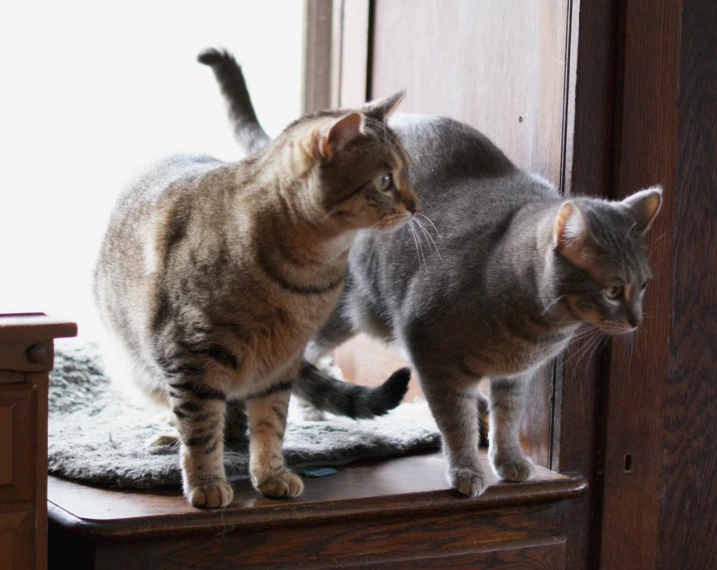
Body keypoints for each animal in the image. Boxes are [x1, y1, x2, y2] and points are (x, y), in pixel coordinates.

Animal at [92, 62, 416, 506]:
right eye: (385, 180)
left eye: (408, 172)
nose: (416, 204)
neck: (307, 273)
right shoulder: (191, 355)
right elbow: (200, 431)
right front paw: (207, 483)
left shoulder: (280, 364)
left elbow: (270, 425)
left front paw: (271, 474)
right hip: (145, 363)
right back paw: (171, 434)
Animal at [203, 47, 660, 492]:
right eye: (613, 290)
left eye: (643, 286)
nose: (638, 321)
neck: (537, 330)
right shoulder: (432, 355)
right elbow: (454, 421)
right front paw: (467, 470)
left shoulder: (515, 376)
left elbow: (508, 416)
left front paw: (509, 459)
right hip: (344, 308)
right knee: (301, 354)